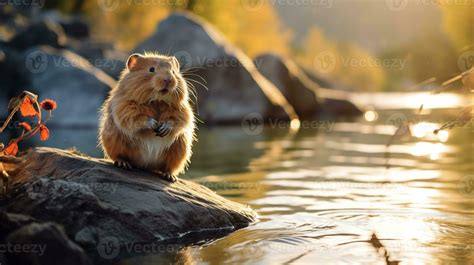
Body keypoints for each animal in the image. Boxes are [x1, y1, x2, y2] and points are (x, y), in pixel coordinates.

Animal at [99, 51, 195, 182]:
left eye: (173, 72)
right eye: (151, 69)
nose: (168, 80)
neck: (157, 101)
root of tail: (145, 165)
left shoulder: (182, 111)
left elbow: (176, 120)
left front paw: (162, 129)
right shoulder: (124, 107)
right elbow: (137, 118)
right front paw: (154, 124)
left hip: (179, 149)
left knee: (168, 168)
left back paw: (170, 177)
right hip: (115, 142)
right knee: (119, 157)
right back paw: (123, 164)